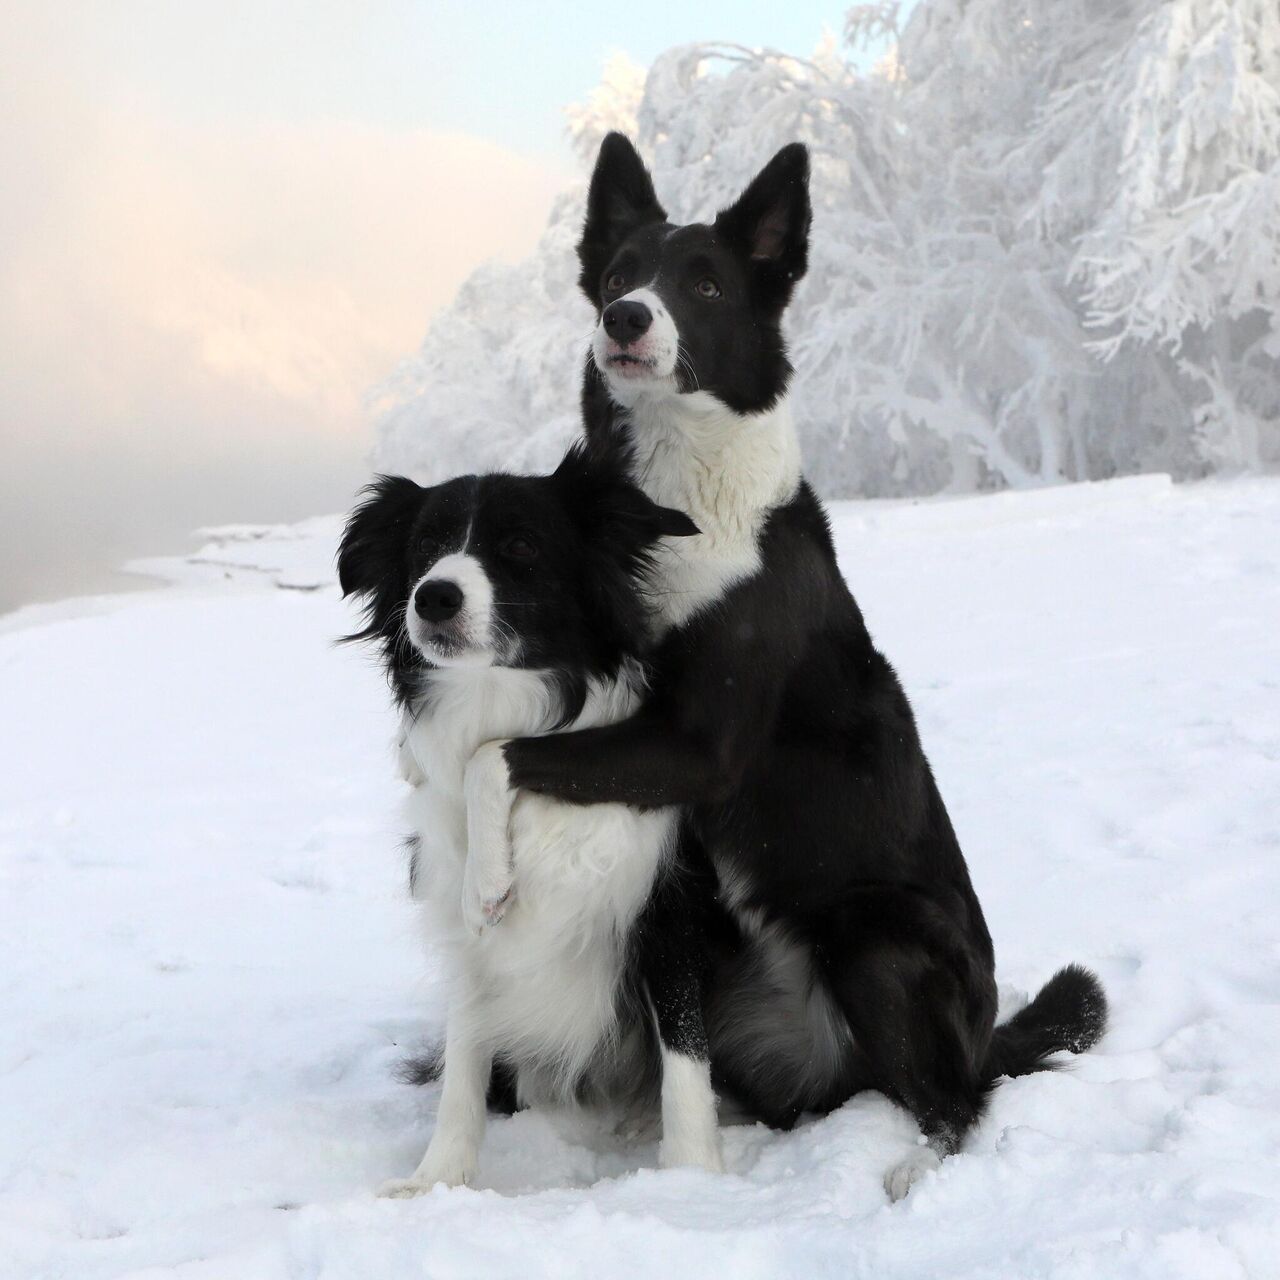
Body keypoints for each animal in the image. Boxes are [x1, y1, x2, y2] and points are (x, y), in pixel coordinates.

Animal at [337, 445, 732, 1192]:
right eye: (425, 545)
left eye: (520, 545)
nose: (434, 595)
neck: (501, 697)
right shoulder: (464, 930)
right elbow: (464, 1057)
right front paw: (438, 1180)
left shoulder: (667, 901)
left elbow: (685, 1050)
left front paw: (692, 1179)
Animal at [465, 135, 1105, 1192]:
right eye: (617, 275)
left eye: (705, 284)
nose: (624, 317)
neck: (676, 499)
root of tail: (984, 1034)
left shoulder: (695, 744)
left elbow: (497, 757)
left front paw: (485, 877)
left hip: (874, 933)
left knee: (956, 1102)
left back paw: (909, 1174)